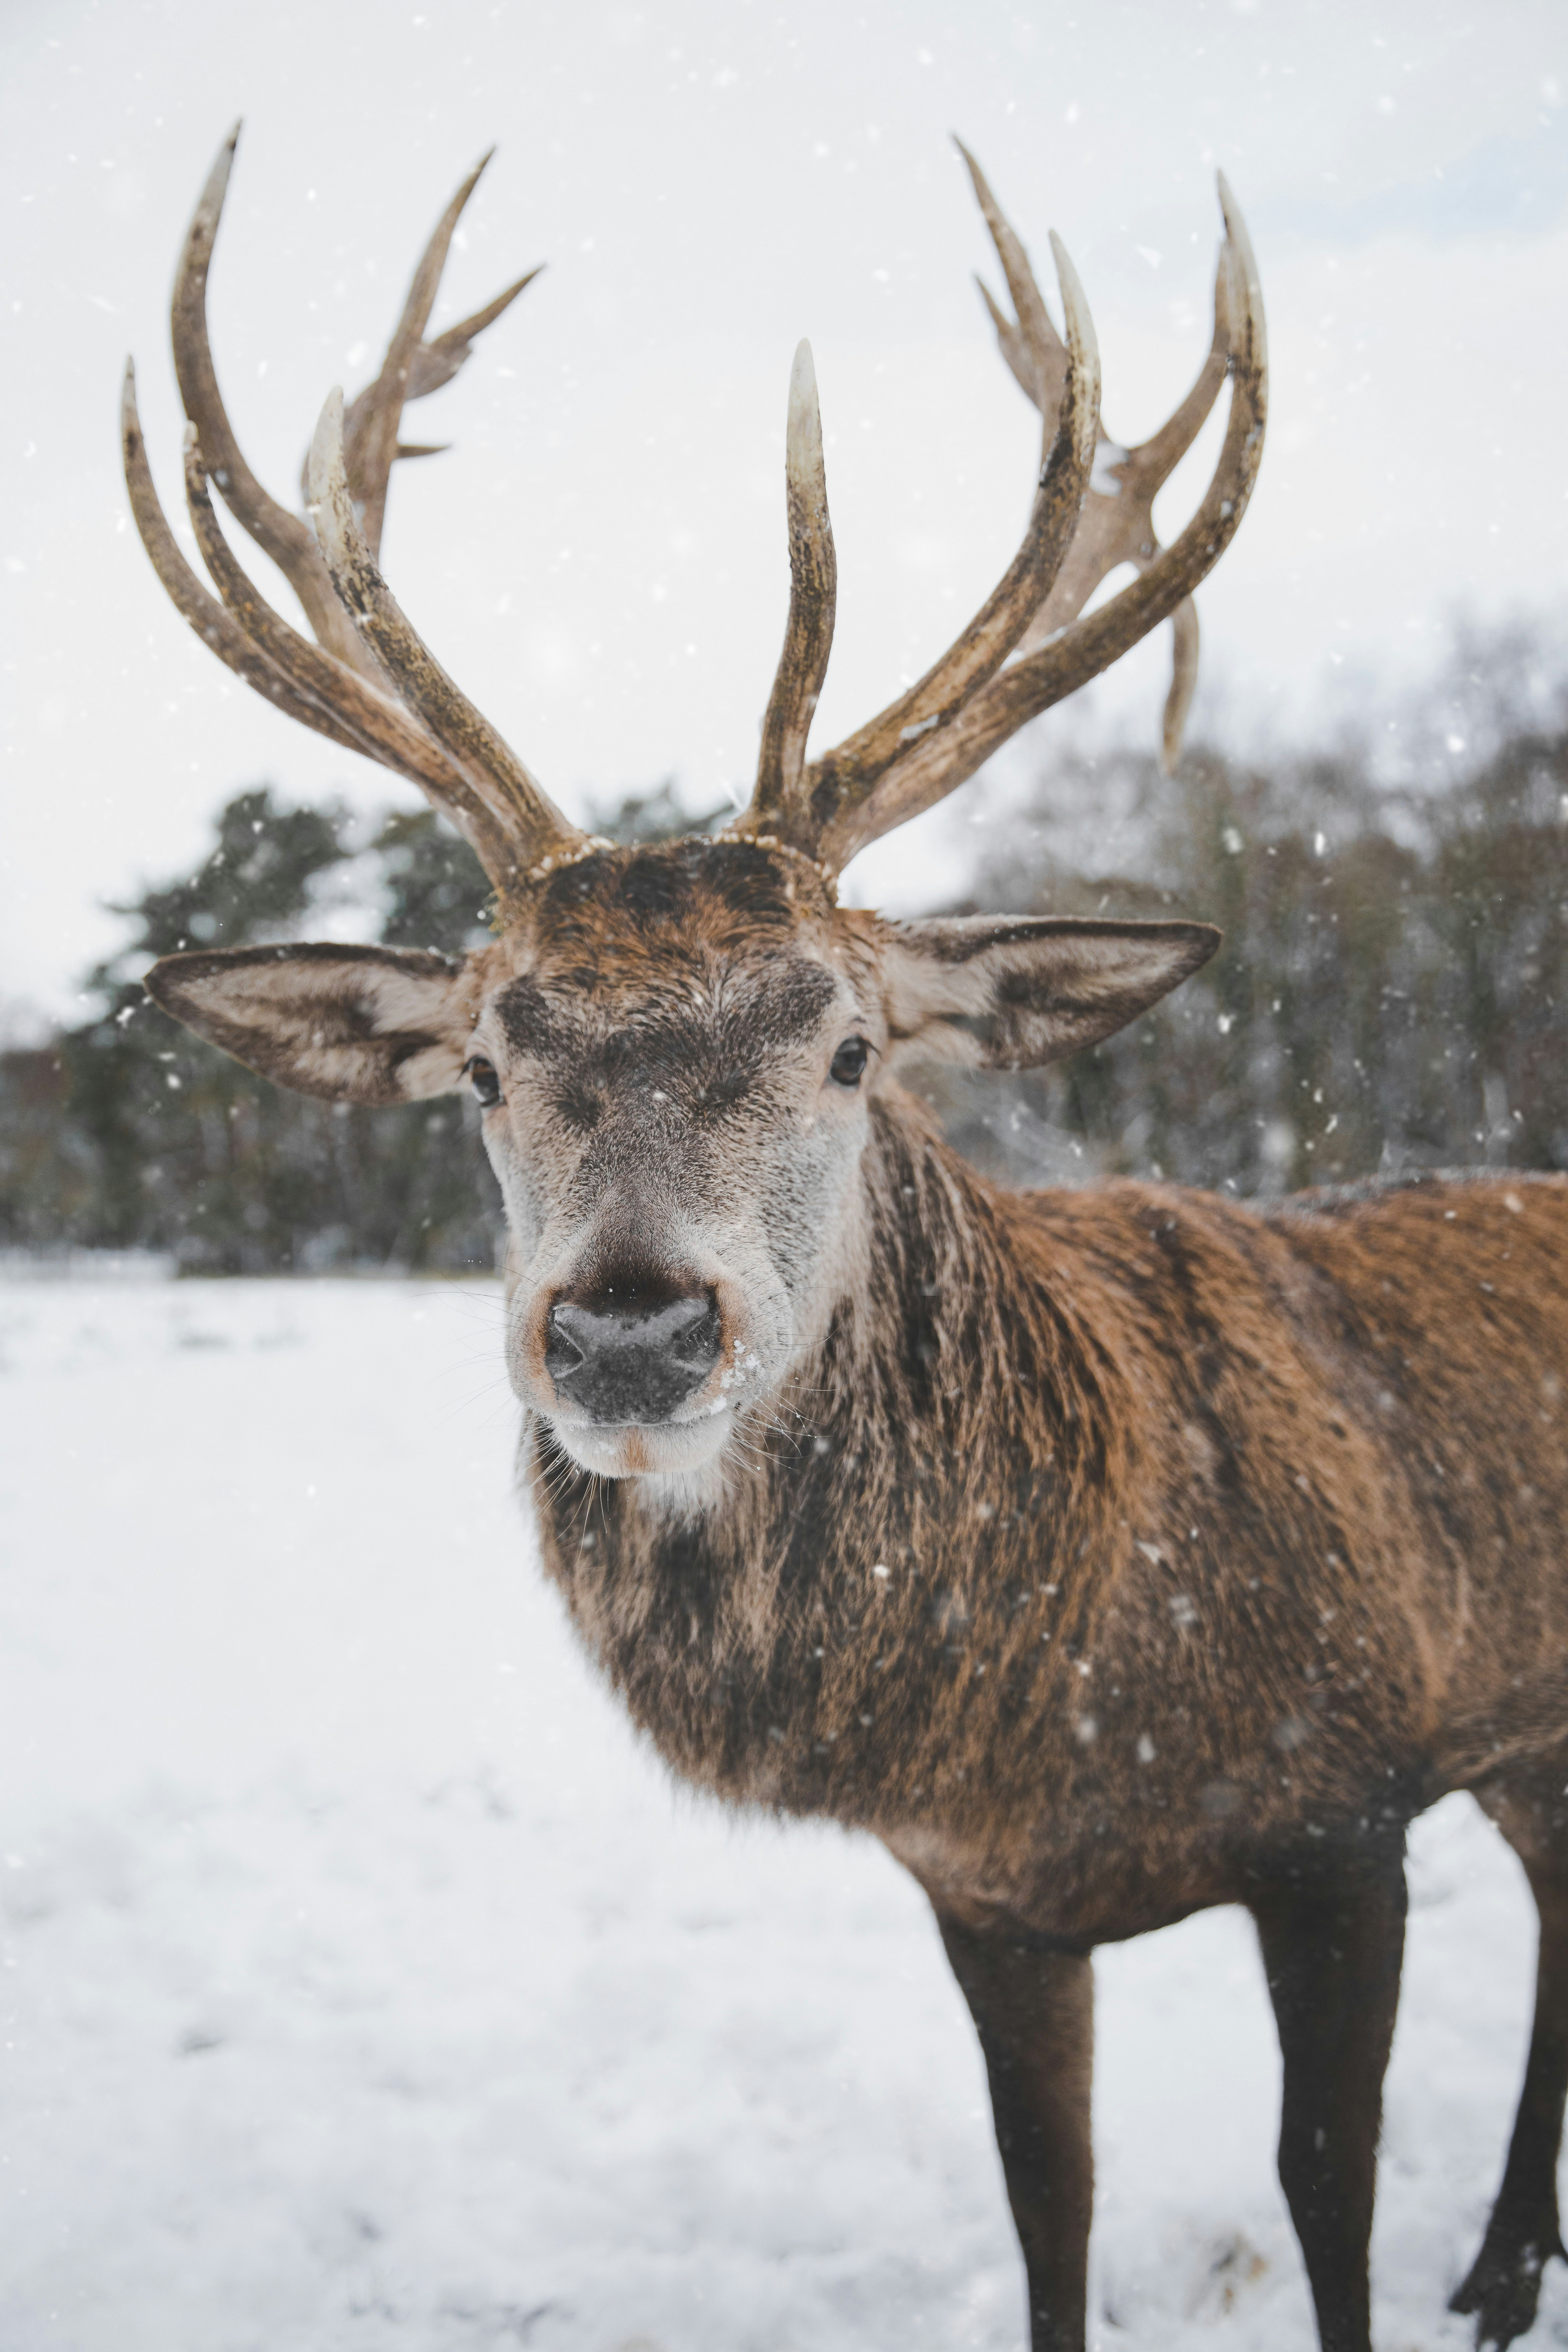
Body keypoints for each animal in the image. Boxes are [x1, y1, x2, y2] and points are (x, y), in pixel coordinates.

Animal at [121, 127, 1568, 2352]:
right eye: (481, 1064)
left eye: (851, 1042)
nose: (629, 1334)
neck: (1064, 1705)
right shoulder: (982, 1897)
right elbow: (1046, 2207)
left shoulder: (1346, 1803)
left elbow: (1321, 2198)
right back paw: (1500, 2265)